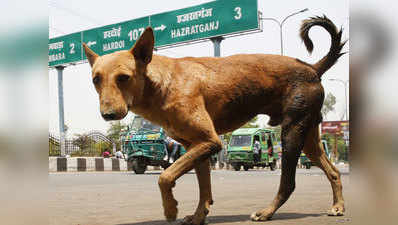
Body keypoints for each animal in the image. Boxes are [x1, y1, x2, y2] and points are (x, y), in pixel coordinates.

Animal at [83, 14, 346, 224]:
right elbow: (204, 190)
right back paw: (338, 206)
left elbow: (165, 177)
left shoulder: (210, 142)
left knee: (288, 182)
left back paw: (267, 212)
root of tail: (312, 67)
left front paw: (170, 209)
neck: (162, 84)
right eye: (96, 79)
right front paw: (198, 216)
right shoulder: (197, 146)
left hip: (291, 133)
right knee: (333, 171)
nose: (108, 115)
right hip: (308, 138)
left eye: (123, 77)